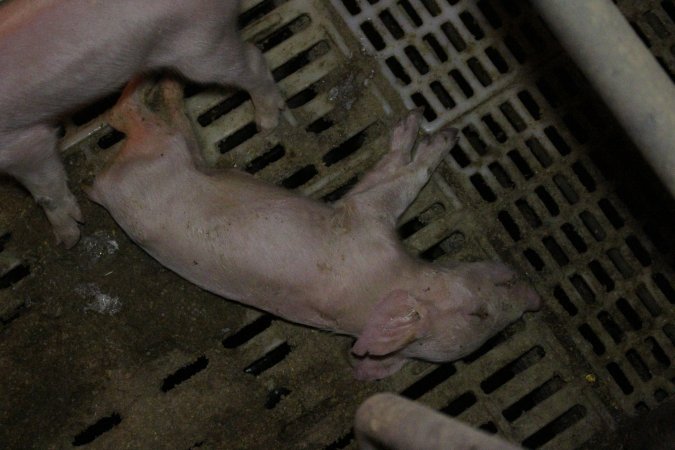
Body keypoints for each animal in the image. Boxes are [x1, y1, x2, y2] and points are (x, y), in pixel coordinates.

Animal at [0, 0, 284, 248]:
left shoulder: (22, 144)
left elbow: (44, 189)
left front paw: (66, 240)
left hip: (205, 47)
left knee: (254, 60)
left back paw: (266, 125)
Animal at [87, 80, 540, 380]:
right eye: (480, 314)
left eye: (488, 327)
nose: (531, 297)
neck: (390, 282)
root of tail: (103, 188)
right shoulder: (363, 218)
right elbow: (394, 181)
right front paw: (431, 132)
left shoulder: (362, 223)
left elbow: (389, 181)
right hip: (169, 153)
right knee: (122, 114)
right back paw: (165, 86)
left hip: (171, 152)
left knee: (131, 118)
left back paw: (169, 92)